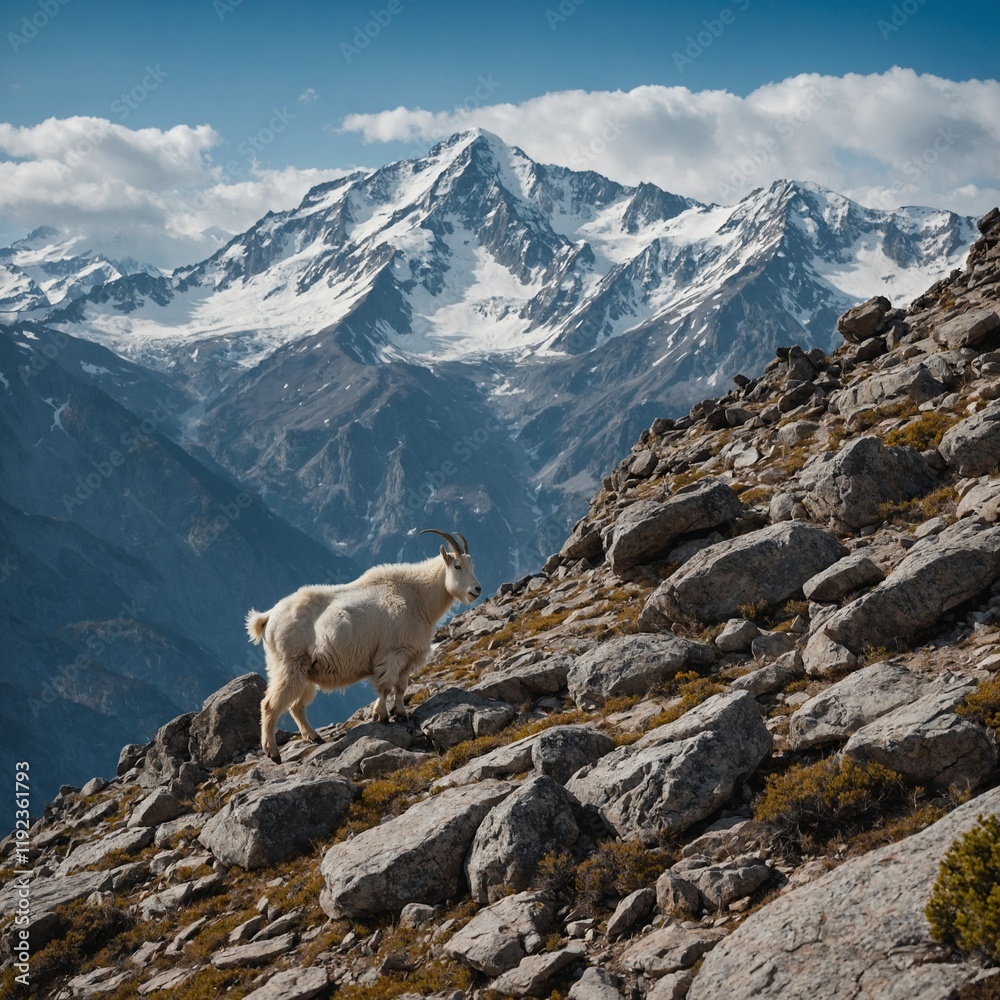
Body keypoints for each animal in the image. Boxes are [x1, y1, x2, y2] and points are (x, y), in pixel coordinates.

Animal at [247, 529, 482, 763]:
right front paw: (382, 715)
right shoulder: (391, 653)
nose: (477, 590)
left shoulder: (407, 655)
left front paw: (400, 714)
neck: (417, 596)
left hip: (305, 671)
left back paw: (314, 738)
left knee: (296, 706)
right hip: (289, 664)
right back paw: (273, 753)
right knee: (270, 704)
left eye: (472, 565)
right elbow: (385, 686)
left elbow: (401, 686)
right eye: (457, 566)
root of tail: (267, 617)